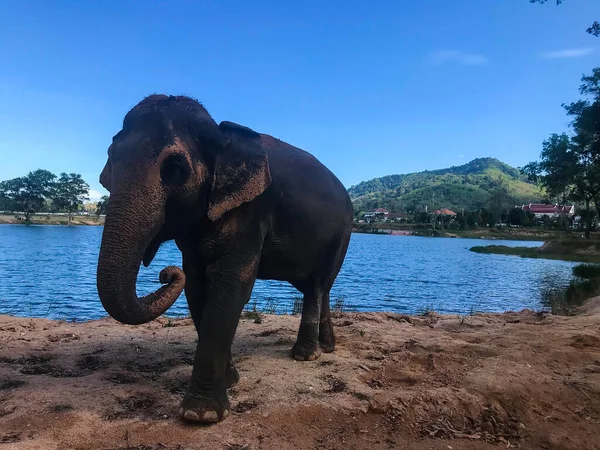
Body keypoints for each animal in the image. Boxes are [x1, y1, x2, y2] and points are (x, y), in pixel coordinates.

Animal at [96, 94, 354, 422]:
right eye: (111, 160)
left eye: (175, 167)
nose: (166, 274)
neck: (220, 136)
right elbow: (196, 284)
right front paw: (230, 381)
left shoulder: (252, 209)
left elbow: (231, 283)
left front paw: (201, 415)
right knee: (319, 286)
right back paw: (327, 348)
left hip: (343, 232)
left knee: (319, 284)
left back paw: (305, 355)